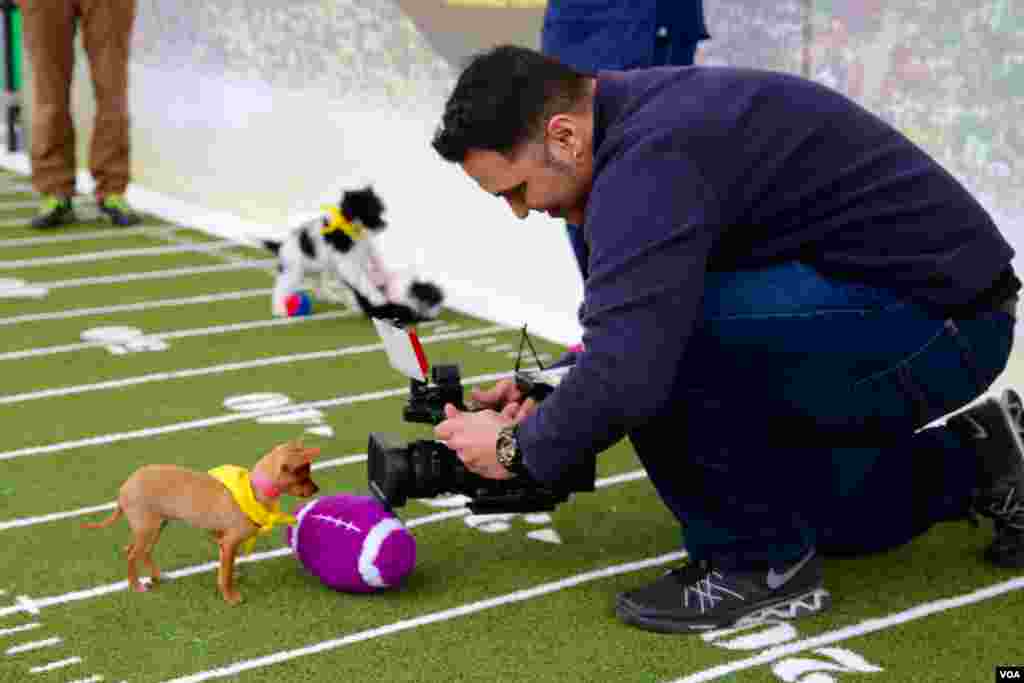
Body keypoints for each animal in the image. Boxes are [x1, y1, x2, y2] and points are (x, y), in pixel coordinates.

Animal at [82, 444, 317, 602]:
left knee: (139, 550)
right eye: (303, 477)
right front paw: (230, 596)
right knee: (132, 553)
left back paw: (157, 577)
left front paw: (229, 577)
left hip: (156, 526)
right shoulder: (229, 542)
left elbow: (226, 567)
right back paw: (135, 585)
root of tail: (124, 487)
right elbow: (226, 573)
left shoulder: (222, 540)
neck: (252, 489)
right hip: (147, 528)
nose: (317, 489)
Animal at [262, 187, 442, 325]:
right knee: (281, 288)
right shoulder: (348, 264)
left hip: (319, 269)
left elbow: (375, 263)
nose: (385, 224)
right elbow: (364, 282)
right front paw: (377, 298)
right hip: (294, 271)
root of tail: (283, 245)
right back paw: (279, 309)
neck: (354, 229)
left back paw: (330, 296)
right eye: (373, 212)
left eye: (380, 210)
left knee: (319, 283)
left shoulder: (366, 252)